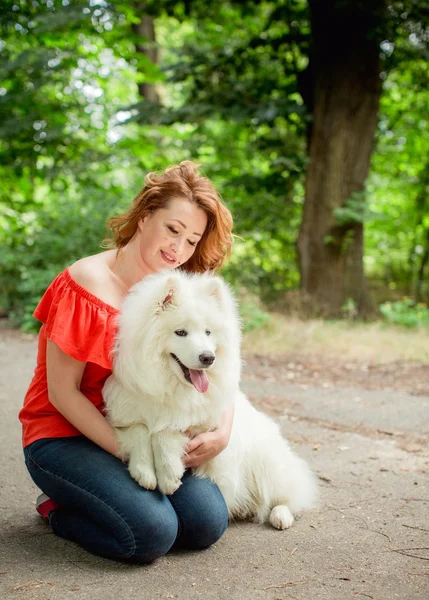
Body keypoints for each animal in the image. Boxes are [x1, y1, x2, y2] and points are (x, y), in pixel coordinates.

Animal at [103, 272, 316, 528]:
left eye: (208, 332)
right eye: (180, 332)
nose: (208, 358)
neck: (169, 387)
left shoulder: (205, 421)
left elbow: (165, 431)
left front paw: (169, 474)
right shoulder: (125, 409)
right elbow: (140, 430)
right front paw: (144, 471)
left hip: (266, 463)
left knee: (288, 495)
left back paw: (281, 515)